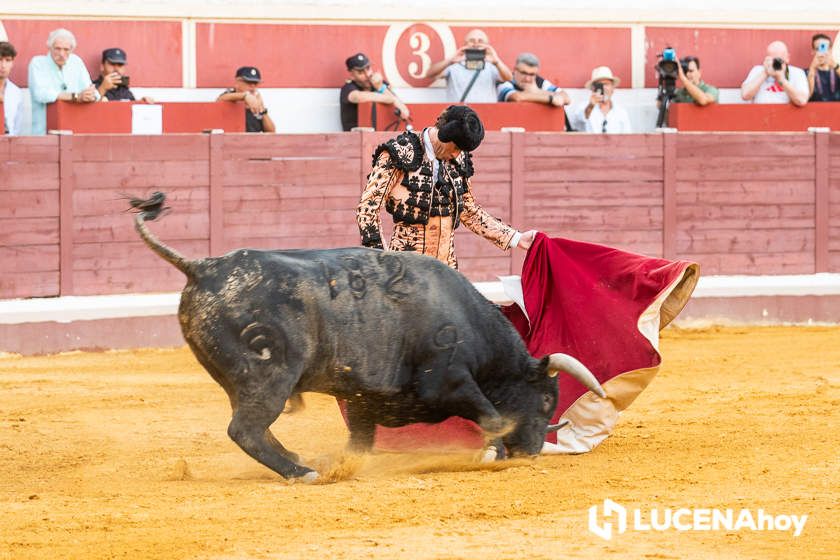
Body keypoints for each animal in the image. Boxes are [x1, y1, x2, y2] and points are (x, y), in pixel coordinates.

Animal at [131, 194, 604, 482]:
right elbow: (488, 413)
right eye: (546, 400)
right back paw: (303, 472)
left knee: (252, 429)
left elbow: (361, 440)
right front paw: (492, 453)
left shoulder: (361, 399)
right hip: (267, 378)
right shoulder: (448, 379)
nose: (532, 452)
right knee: (245, 429)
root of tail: (204, 267)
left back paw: (303, 462)